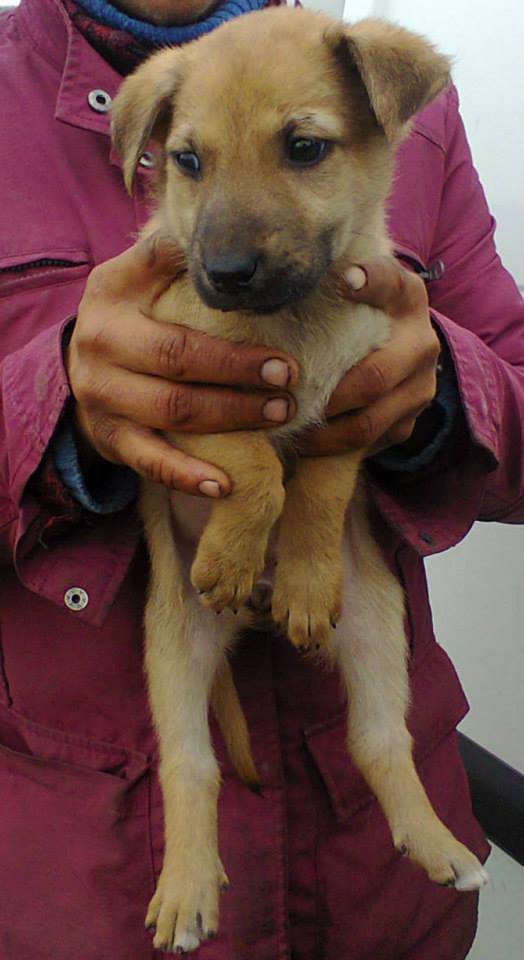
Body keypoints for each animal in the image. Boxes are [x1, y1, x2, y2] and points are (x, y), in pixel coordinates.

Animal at [112, 7, 490, 952]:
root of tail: (238, 630)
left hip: (380, 630)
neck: (295, 319)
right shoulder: (175, 394)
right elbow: (255, 464)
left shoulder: (365, 396)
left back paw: (439, 845)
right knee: (191, 771)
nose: (224, 275)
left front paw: (307, 578)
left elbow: (314, 485)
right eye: (187, 161)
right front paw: (231, 550)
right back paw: (187, 891)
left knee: (378, 742)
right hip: (171, 656)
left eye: (305, 148)